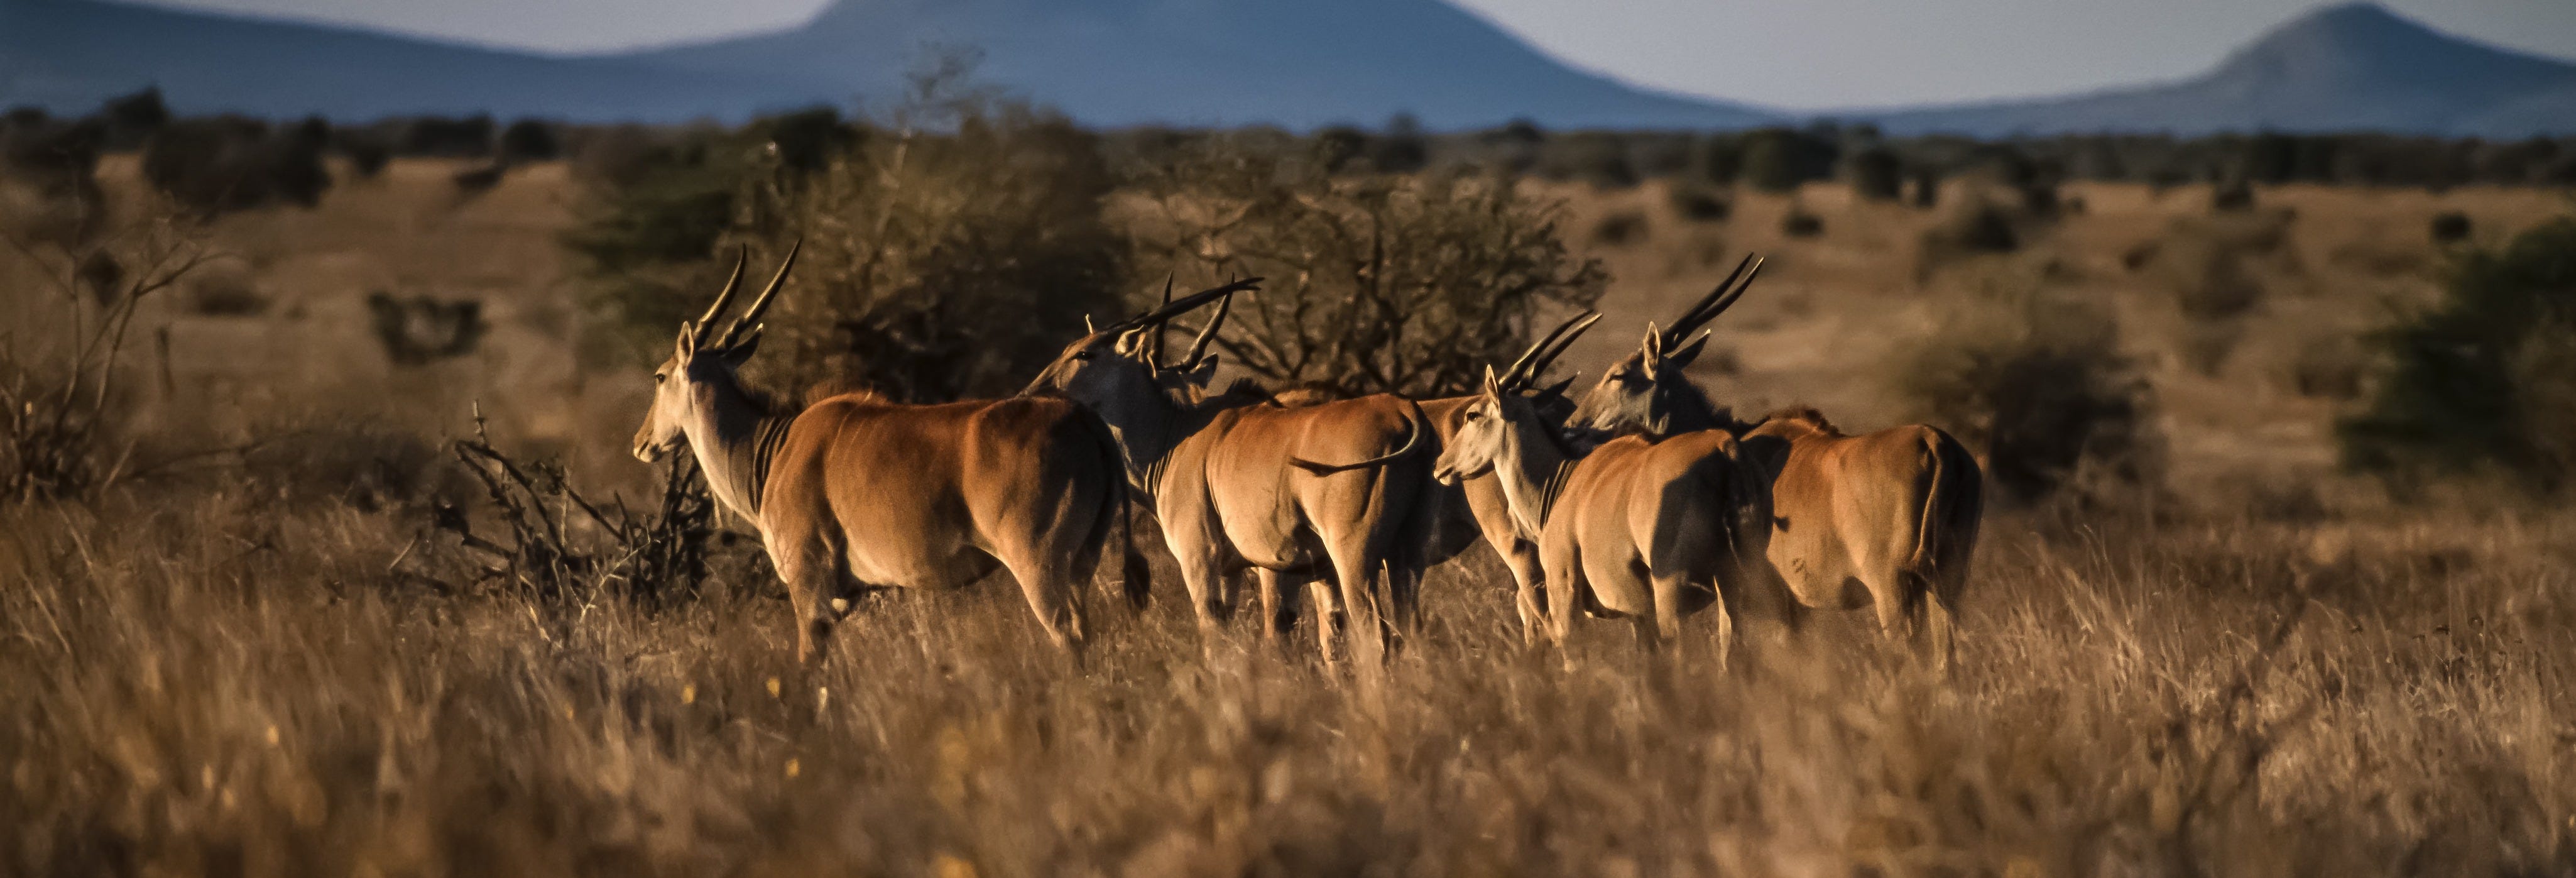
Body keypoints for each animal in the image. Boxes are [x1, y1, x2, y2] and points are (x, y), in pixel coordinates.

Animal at [628, 241, 1143, 664]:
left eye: (659, 375)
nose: (641, 443)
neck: (774, 445)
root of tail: (1082, 418)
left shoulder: (809, 589)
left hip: (1040, 565)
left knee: (1068, 637)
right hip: (1081, 564)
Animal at [1556, 256, 1978, 664]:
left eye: (1617, 376)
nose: (1570, 427)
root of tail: (1935, 443)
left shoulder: (1762, 596)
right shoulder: (1796, 608)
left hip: (1892, 588)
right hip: (1947, 586)